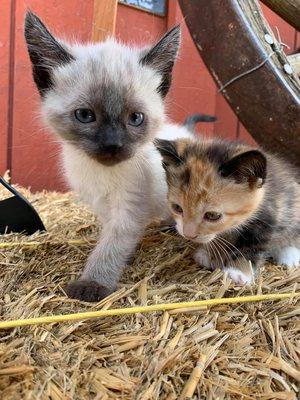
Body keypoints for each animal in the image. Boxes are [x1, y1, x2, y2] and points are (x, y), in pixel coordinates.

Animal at [24, 11, 214, 300]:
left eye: (135, 118)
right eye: (85, 115)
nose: (112, 144)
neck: (99, 173)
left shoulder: (128, 210)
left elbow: (110, 248)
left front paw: (92, 285)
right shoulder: (103, 207)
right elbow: (106, 238)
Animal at [156, 138, 298, 284]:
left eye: (212, 215)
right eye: (177, 208)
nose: (188, 235)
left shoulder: (268, 218)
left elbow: (251, 246)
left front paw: (239, 271)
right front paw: (211, 255)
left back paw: (289, 254)